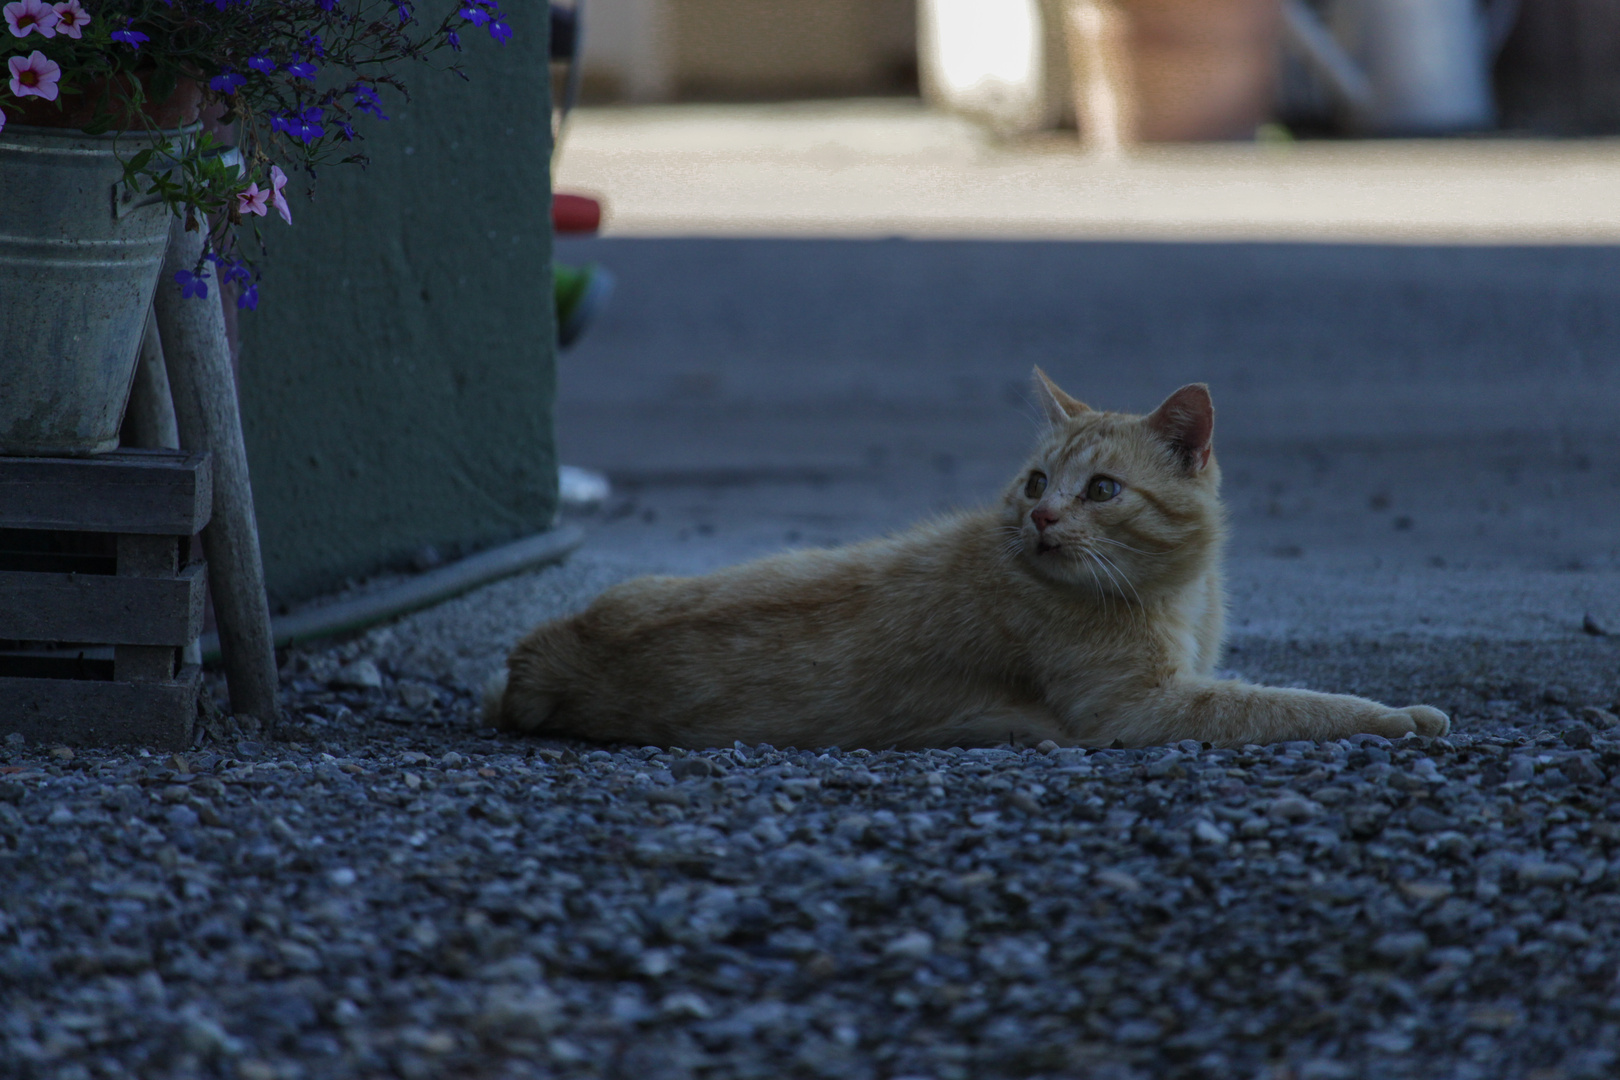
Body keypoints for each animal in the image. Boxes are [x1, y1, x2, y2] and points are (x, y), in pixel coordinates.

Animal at [486, 372, 1451, 751]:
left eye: (1102, 489)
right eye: (1037, 482)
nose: (1043, 516)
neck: (1179, 591)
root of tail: (545, 651)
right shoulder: (1145, 710)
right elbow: (1293, 704)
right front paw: (1399, 713)